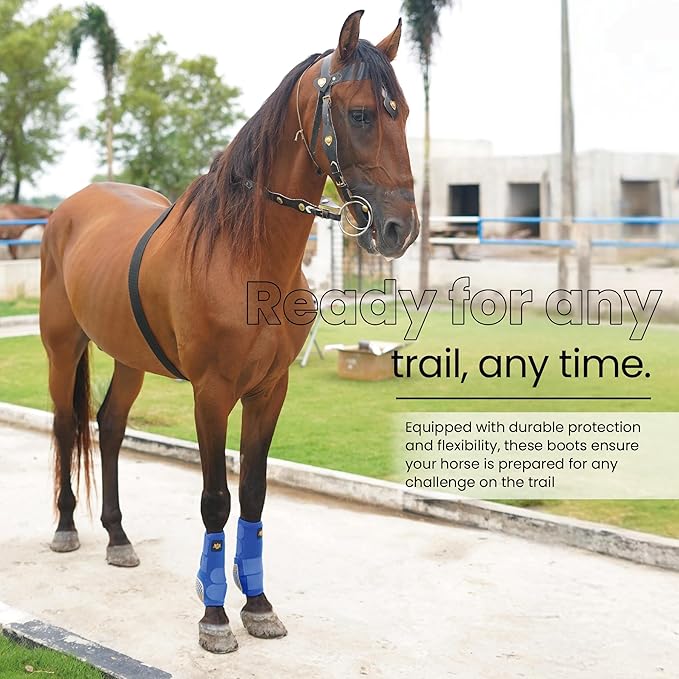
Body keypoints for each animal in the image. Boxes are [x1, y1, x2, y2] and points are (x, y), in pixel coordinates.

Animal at [40, 10, 418, 654]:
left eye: (406, 113)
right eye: (362, 113)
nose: (399, 228)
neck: (245, 253)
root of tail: (69, 207)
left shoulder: (269, 391)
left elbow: (255, 495)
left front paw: (258, 604)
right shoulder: (212, 393)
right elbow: (216, 499)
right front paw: (215, 616)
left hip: (130, 358)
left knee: (109, 427)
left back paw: (117, 536)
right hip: (63, 347)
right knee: (68, 424)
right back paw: (67, 526)